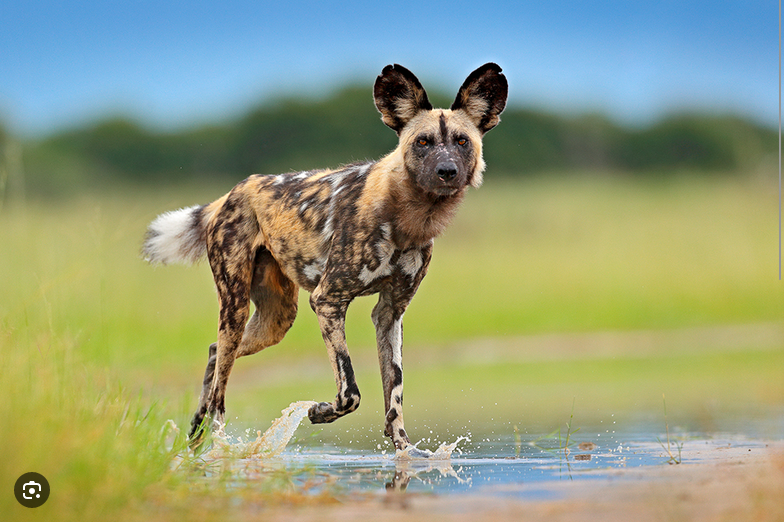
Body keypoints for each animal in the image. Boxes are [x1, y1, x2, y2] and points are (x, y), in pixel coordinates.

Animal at [141, 63, 508, 448]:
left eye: (462, 141)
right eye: (423, 142)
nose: (447, 171)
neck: (408, 217)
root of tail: (231, 193)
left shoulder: (390, 313)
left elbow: (394, 398)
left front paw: (405, 452)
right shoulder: (328, 301)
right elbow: (350, 392)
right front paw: (320, 412)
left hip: (275, 320)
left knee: (214, 356)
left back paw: (195, 436)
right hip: (236, 307)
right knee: (220, 390)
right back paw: (218, 446)